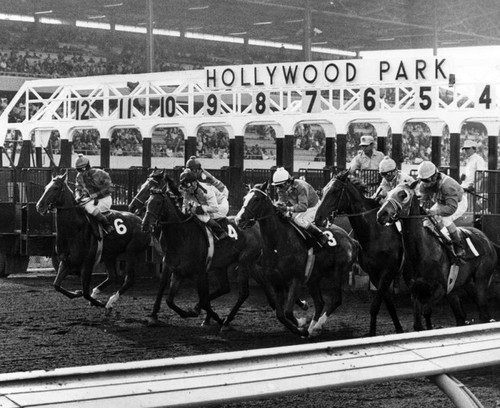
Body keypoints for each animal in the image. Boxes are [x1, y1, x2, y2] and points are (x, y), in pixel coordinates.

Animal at [35, 172, 152, 310]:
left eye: (56, 188)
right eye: (45, 188)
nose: (39, 206)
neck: (75, 228)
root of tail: (141, 221)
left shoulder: (87, 263)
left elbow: (85, 293)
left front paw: (100, 302)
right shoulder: (65, 261)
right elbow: (56, 285)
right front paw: (77, 293)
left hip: (132, 252)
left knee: (129, 280)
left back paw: (110, 302)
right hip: (110, 255)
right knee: (112, 276)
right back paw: (97, 293)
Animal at [235, 182, 360, 338]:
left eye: (256, 199)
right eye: (244, 198)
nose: (239, 219)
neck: (277, 243)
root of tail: (351, 239)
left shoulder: (296, 279)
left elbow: (287, 312)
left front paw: (301, 325)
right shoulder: (276, 281)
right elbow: (280, 314)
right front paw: (300, 325)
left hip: (337, 272)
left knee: (336, 299)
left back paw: (316, 326)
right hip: (314, 278)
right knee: (319, 302)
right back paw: (311, 327)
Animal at [314, 171, 408, 336]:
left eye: (335, 191)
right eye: (323, 190)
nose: (318, 218)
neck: (376, 233)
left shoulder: (388, 271)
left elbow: (376, 304)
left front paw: (372, 332)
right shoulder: (374, 274)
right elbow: (388, 302)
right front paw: (397, 328)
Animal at [376, 182, 498, 332]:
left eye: (403, 195)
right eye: (386, 194)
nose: (381, 214)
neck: (421, 254)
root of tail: (488, 241)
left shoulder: (441, 289)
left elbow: (427, 311)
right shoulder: (415, 291)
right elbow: (417, 324)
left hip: (481, 280)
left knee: (483, 313)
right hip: (463, 286)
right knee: (461, 317)